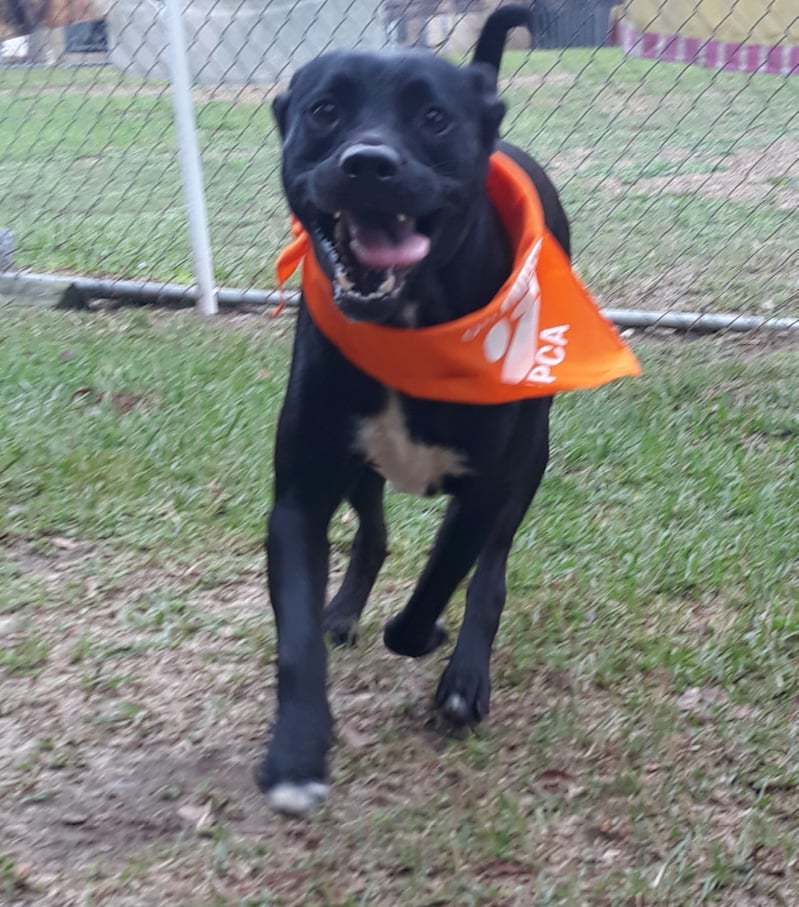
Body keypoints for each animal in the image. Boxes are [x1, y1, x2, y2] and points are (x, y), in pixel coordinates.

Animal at [260, 7, 568, 816]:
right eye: (324, 110)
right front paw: (296, 750)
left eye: (433, 117)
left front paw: (424, 640)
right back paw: (344, 610)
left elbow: (442, 580)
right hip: (359, 467)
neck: (408, 324)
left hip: (530, 462)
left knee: (489, 571)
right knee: (372, 535)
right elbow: (296, 636)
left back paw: (463, 677)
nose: (368, 164)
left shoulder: (487, 486)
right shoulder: (300, 491)